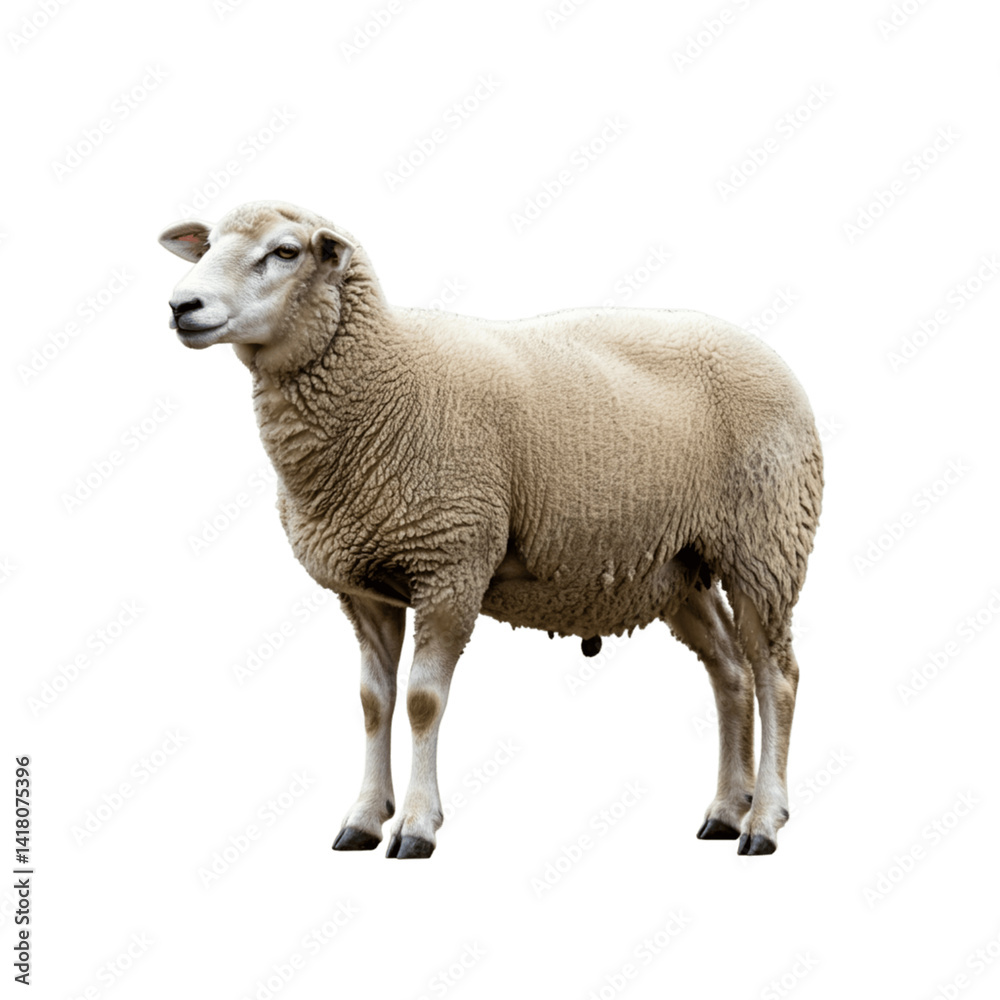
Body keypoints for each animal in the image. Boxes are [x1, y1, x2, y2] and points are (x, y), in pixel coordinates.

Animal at [159, 200, 823, 859]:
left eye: (285, 251)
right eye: (208, 245)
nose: (180, 306)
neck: (383, 378)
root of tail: (766, 353)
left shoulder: (451, 564)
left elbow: (423, 701)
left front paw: (416, 826)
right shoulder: (365, 588)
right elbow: (374, 703)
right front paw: (364, 819)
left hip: (766, 542)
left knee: (776, 675)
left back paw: (764, 821)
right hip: (679, 566)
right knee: (730, 672)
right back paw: (725, 812)